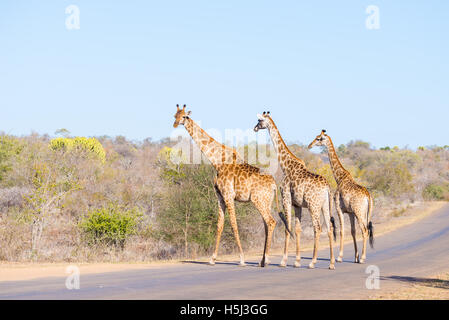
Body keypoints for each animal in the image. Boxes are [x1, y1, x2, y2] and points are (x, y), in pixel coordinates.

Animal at [172, 105, 288, 268]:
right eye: (175, 115)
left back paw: (265, 260)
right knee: (267, 223)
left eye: (184, 116)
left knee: (271, 222)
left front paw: (242, 259)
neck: (217, 161)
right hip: (266, 201)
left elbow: (233, 224)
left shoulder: (228, 195)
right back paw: (262, 260)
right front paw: (212, 258)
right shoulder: (219, 196)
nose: (175, 124)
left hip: (258, 200)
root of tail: (273, 185)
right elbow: (219, 225)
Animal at [254, 111, 334, 268]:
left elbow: (287, 227)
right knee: (330, 228)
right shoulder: (297, 204)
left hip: (313, 205)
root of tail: (327, 188)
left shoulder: (286, 197)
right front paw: (296, 261)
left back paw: (313, 262)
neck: (286, 165)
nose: (254, 128)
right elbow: (297, 229)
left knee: (318, 228)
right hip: (325, 205)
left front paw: (283, 261)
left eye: (260, 120)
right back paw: (332, 263)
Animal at [306, 129, 372, 262]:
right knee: (365, 229)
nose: (310, 145)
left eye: (319, 138)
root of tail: (368, 197)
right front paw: (355, 256)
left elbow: (342, 231)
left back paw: (363, 258)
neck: (339, 177)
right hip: (364, 213)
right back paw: (361, 257)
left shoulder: (339, 208)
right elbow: (352, 231)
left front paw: (340, 257)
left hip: (359, 212)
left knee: (364, 230)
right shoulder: (350, 212)